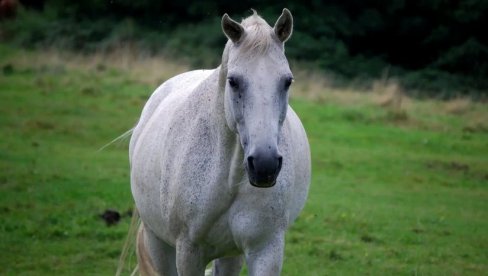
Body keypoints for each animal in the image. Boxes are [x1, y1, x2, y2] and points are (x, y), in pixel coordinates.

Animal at [127, 9, 310, 276]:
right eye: (233, 81)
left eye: (287, 81)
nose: (264, 165)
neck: (230, 178)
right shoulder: (189, 251)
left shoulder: (266, 250)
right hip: (157, 241)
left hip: (230, 254)